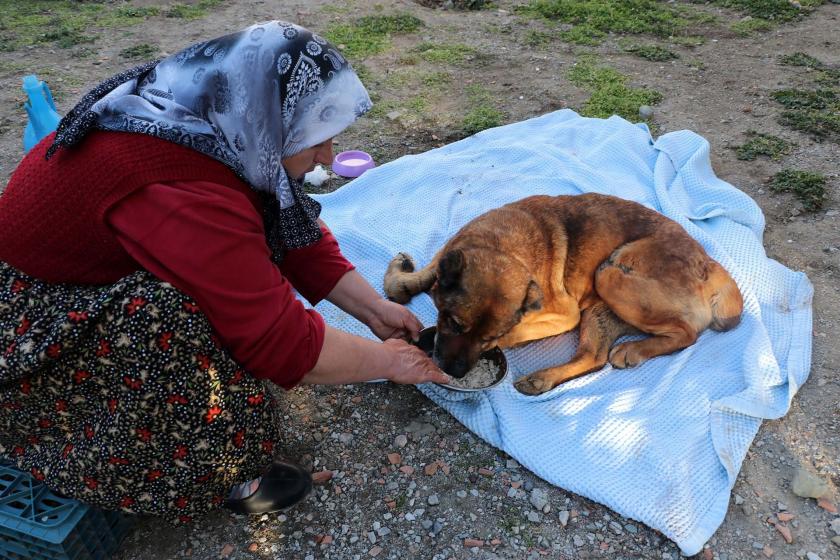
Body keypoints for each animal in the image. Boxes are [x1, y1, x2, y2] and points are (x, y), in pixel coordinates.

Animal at [380, 195, 740, 396]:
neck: (501, 246)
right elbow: (404, 283)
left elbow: (518, 330)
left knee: (687, 333)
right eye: (453, 323)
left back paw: (634, 350)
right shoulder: (448, 256)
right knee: (593, 357)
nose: (454, 373)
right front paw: (405, 277)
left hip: (608, 274)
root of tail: (709, 263)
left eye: (489, 338)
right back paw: (543, 379)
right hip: (601, 304)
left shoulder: (565, 314)